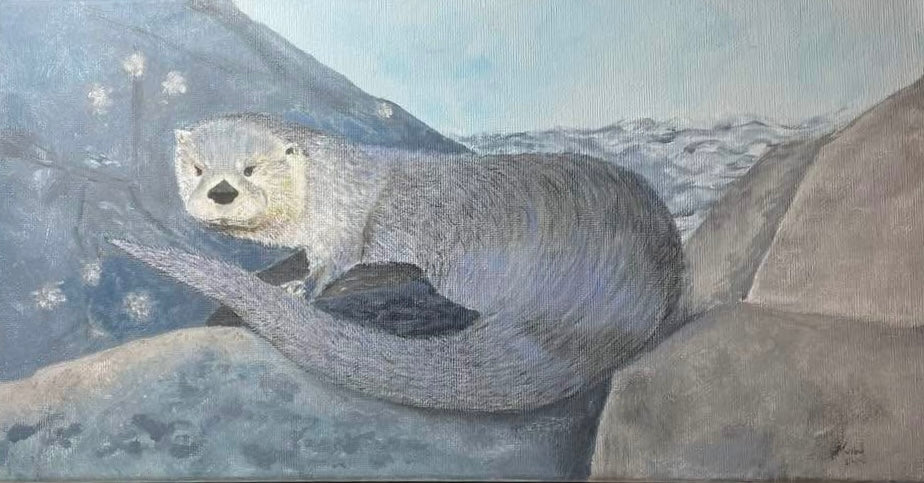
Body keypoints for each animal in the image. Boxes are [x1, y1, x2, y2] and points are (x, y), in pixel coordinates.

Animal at [112, 113, 685, 412]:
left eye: (251, 168)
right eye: (198, 168)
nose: (223, 191)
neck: (329, 185)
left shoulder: (343, 224)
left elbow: (333, 263)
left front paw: (299, 290)